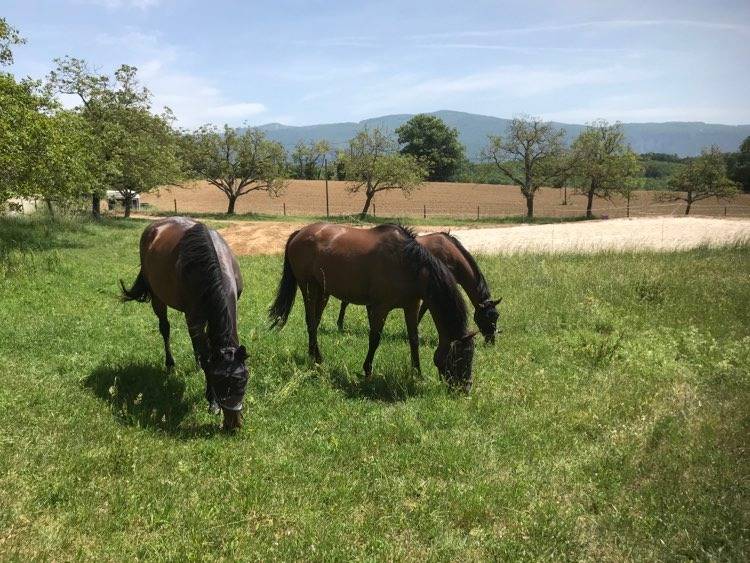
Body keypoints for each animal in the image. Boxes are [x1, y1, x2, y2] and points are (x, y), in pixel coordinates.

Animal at [120, 217, 249, 430]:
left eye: (243, 381)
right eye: (218, 381)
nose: (233, 424)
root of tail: (153, 227)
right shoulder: (194, 317)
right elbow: (206, 358)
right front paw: (212, 402)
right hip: (158, 300)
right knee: (165, 329)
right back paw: (170, 364)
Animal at [268, 223, 477, 390]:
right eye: (459, 357)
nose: (465, 389)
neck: (407, 264)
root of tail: (299, 232)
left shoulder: (411, 307)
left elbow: (414, 340)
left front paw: (417, 374)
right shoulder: (380, 308)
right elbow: (375, 339)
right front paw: (367, 371)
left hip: (322, 292)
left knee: (315, 322)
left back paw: (314, 357)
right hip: (309, 288)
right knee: (311, 321)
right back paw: (317, 359)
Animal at [337, 232, 501, 343]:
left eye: (496, 316)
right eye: (487, 317)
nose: (491, 341)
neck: (452, 255)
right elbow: (423, 309)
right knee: (346, 302)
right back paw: (340, 325)